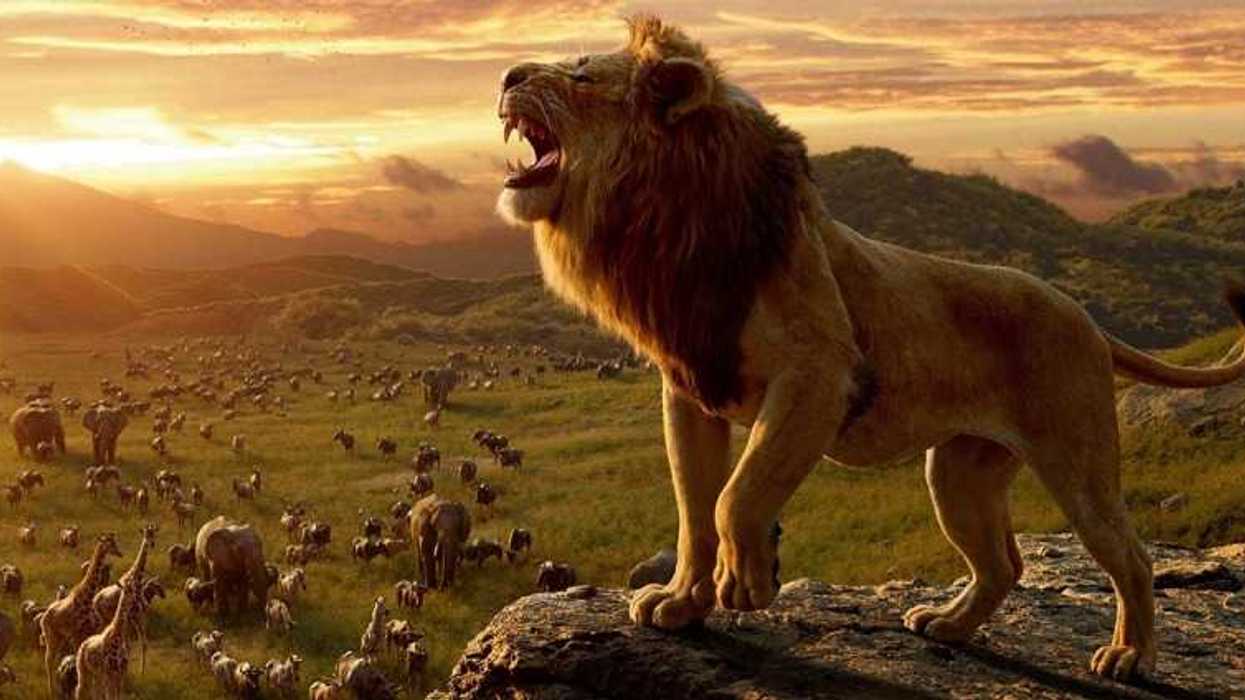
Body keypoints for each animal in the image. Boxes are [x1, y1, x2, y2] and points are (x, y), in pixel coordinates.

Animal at [494, 15, 1245, 682]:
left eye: (580, 75)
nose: (505, 75)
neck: (663, 227)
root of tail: (1085, 316)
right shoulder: (690, 389)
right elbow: (693, 512)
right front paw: (681, 604)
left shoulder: (819, 375)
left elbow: (736, 495)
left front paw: (749, 581)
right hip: (959, 474)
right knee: (1003, 563)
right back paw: (947, 625)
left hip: (1077, 460)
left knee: (1130, 556)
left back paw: (1129, 656)